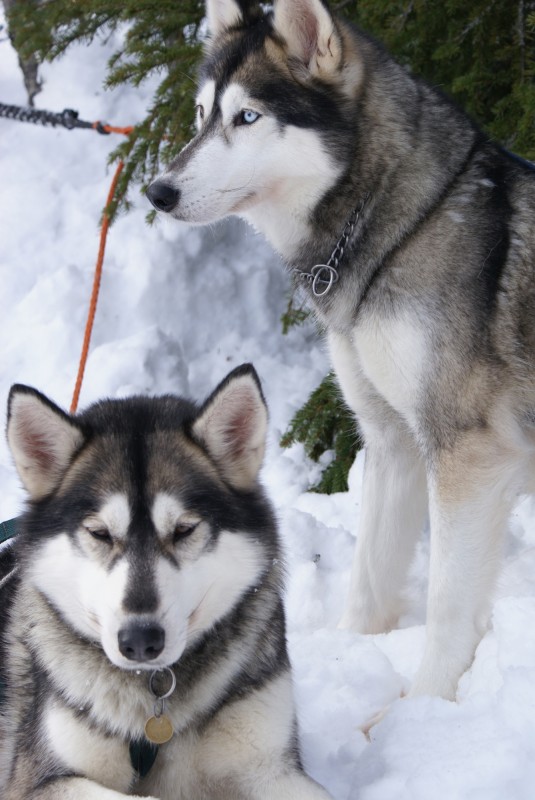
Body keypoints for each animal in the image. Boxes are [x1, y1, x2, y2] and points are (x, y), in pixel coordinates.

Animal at [0, 368, 332, 800]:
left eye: (184, 530)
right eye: (100, 533)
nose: (140, 640)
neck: (153, 696)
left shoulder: (269, 767)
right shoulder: (40, 782)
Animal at [146, 0, 535, 700]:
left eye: (248, 117)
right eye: (202, 114)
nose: (156, 192)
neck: (402, 226)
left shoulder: (468, 452)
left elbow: (447, 605)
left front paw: (425, 703)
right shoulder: (390, 441)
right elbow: (369, 581)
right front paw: (348, 654)